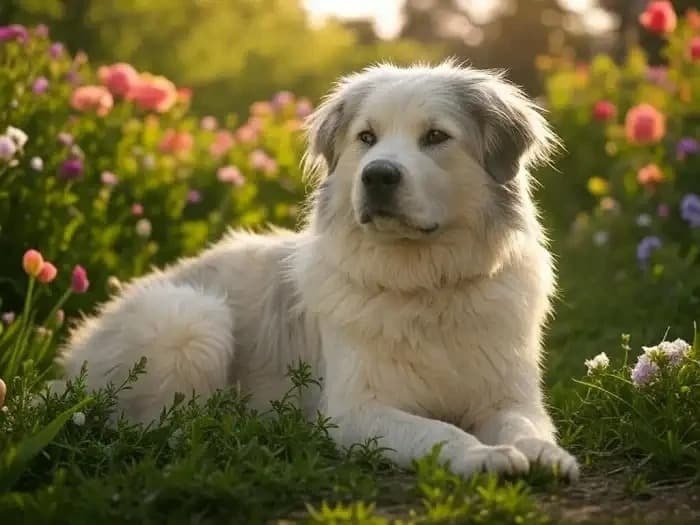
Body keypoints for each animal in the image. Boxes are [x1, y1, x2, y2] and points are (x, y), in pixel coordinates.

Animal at [56, 60, 580, 478]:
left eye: (435, 137)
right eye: (366, 138)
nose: (378, 175)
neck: (426, 284)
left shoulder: (509, 397)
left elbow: (525, 425)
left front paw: (543, 454)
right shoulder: (357, 411)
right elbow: (436, 431)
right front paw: (480, 456)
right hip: (192, 318)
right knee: (156, 426)